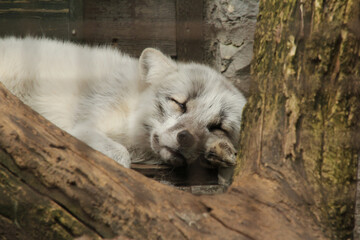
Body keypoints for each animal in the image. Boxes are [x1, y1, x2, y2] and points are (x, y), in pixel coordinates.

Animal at [0, 36, 248, 172]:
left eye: (218, 127)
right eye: (179, 103)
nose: (186, 138)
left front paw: (220, 151)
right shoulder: (81, 125)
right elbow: (121, 157)